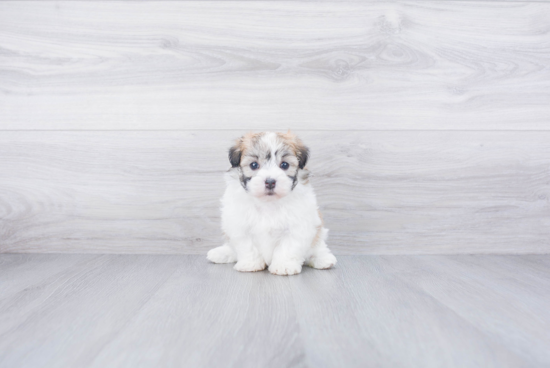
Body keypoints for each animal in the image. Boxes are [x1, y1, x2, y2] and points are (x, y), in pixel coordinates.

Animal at [207, 131, 336, 274]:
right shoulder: (239, 226)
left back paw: (323, 259)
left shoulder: (298, 227)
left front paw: (284, 266)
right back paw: (220, 253)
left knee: (317, 247)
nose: (270, 181)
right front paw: (250, 264)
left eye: (284, 165)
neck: (268, 203)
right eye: (253, 165)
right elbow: (248, 247)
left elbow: (288, 247)